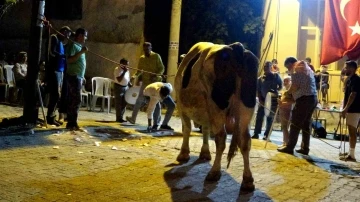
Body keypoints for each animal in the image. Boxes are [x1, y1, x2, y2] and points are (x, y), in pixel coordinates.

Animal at [175, 41, 258, 193]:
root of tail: (235, 47)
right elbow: (205, 130)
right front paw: (205, 153)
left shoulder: (181, 106)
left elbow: (187, 129)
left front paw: (184, 154)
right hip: (246, 107)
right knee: (245, 141)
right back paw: (248, 181)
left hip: (216, 106)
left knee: (221, 138)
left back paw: (214, 172)